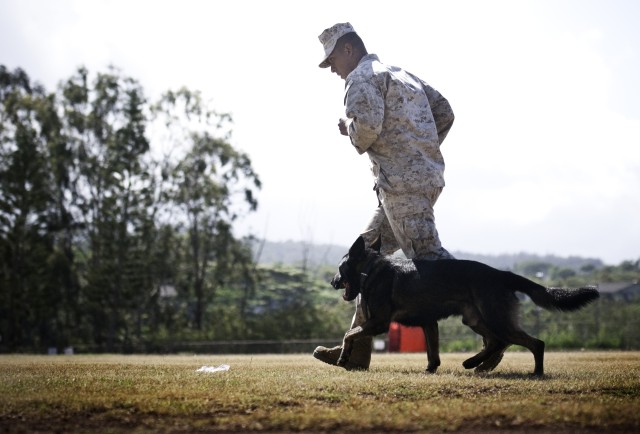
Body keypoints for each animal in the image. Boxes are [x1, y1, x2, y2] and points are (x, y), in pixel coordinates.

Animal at [330, 236, 600, 374]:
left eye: (339, 268)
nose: (332, 282)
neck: (371, 269)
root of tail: (501, 274)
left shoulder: (379, 323)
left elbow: (348, 334)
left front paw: (343, 357)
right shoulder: (429, 323)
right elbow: (433, 353)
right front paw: (430, 370)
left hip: (495, 318)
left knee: (532, 343)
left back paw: (533, 372)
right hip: (475, 319)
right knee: (497, 342)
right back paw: (474, 364)